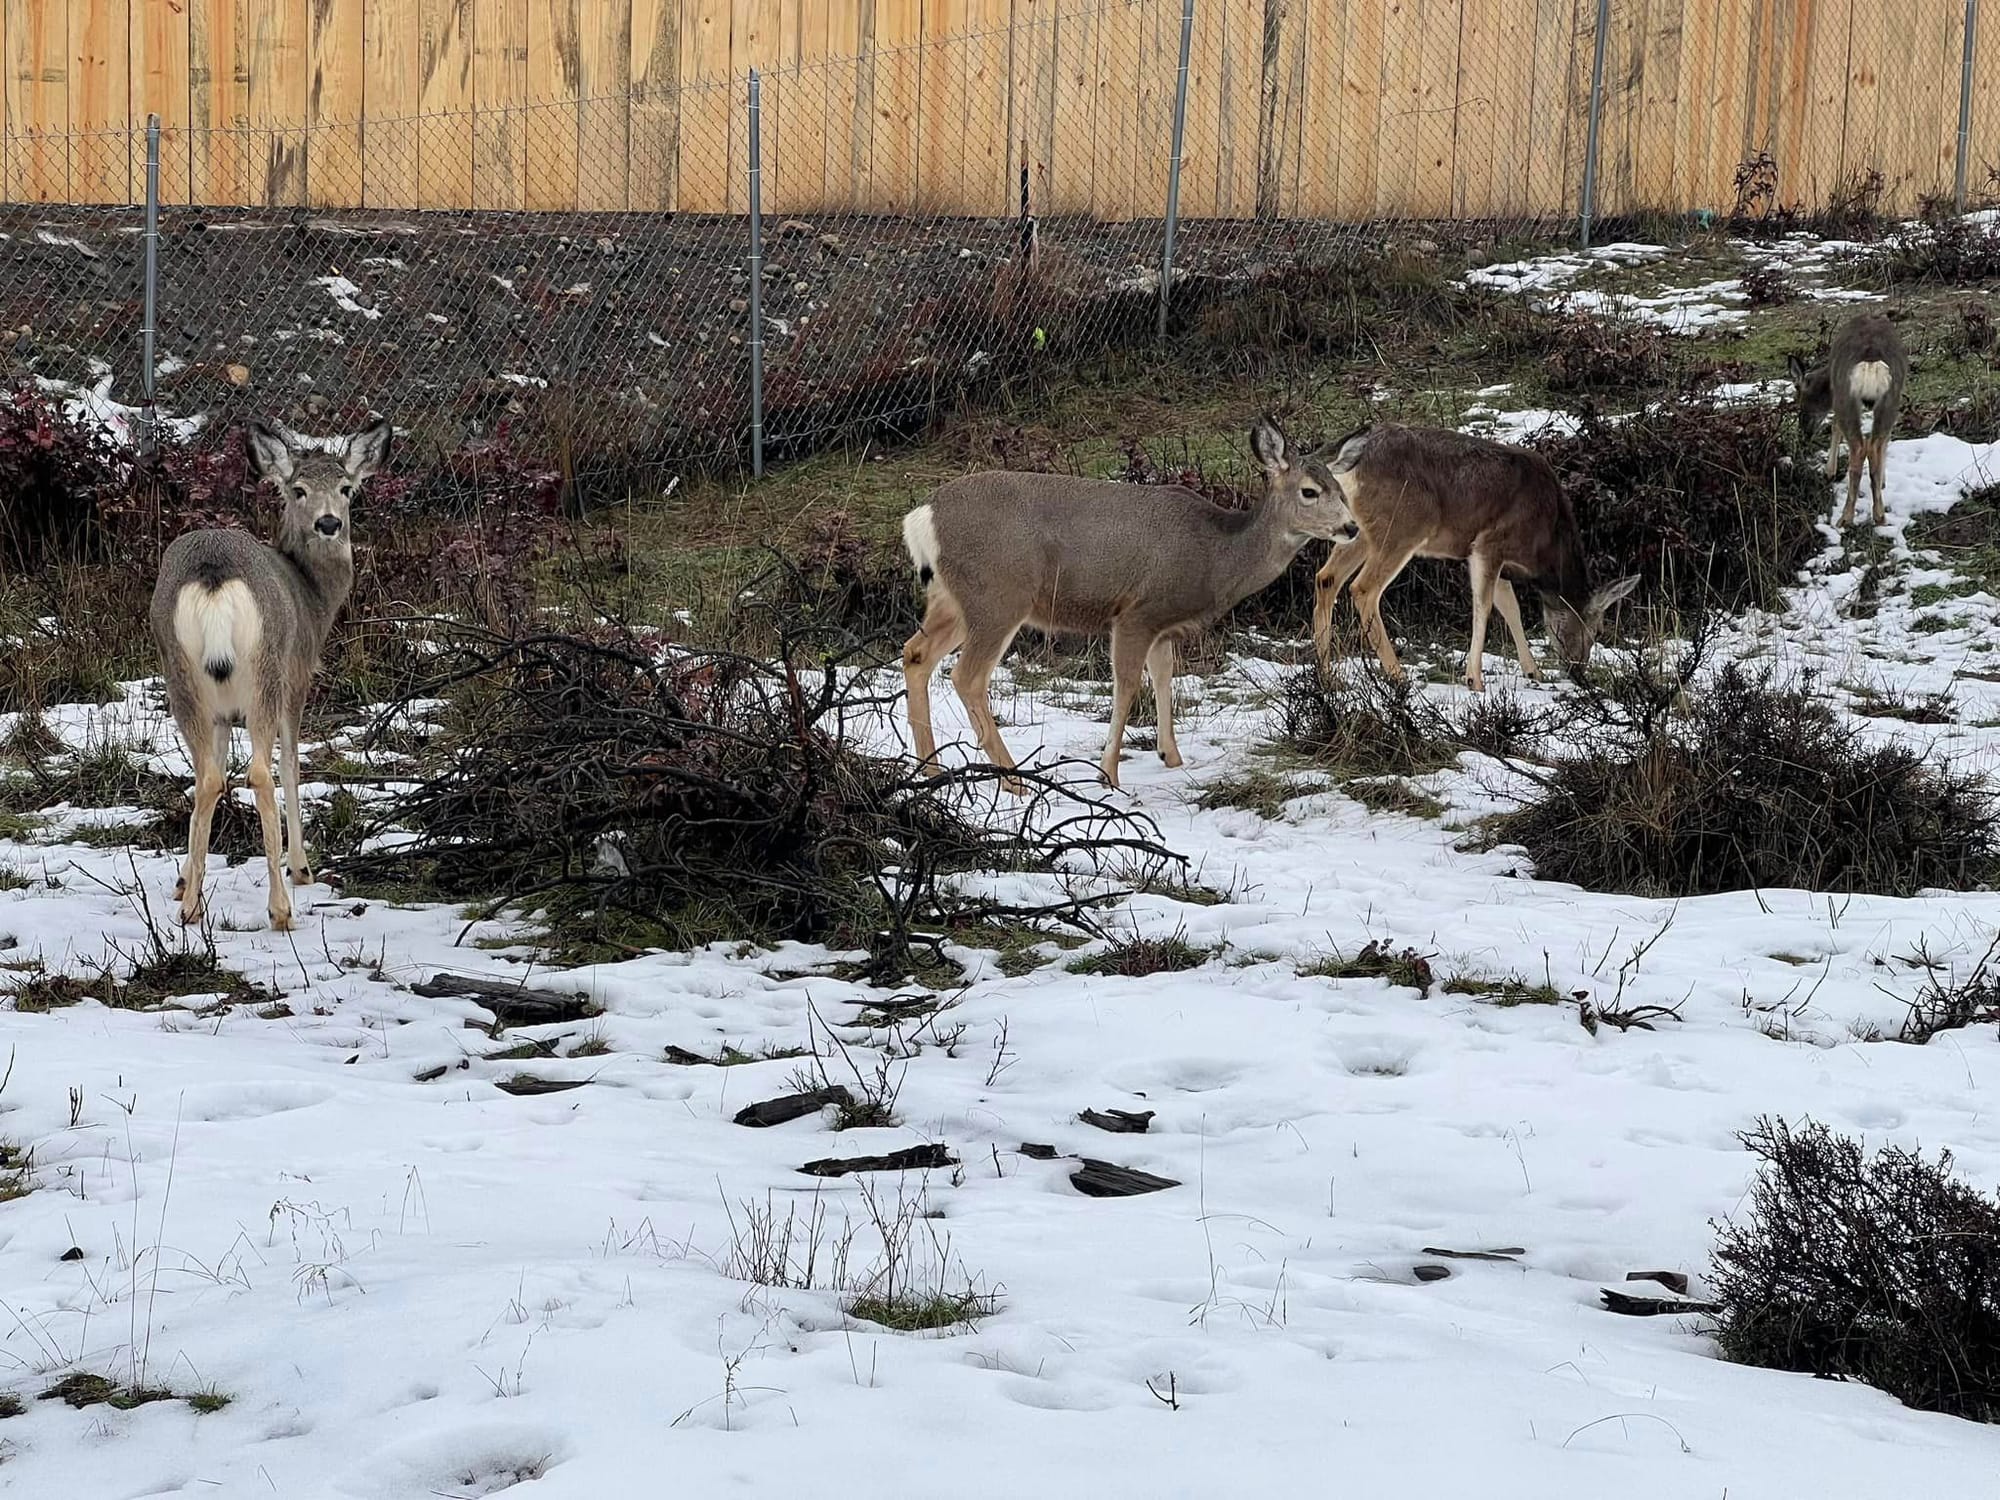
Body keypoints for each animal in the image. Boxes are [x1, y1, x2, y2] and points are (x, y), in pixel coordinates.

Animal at [148, 420, 394, 928]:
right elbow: (293, 765)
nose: (329, 523)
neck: (312, 596)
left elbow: (214, 770)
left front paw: (184, 879)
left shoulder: (223, 713)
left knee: (207, 776)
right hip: (265, 669)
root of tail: (213, 572)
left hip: (181, 674)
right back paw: (281, 908)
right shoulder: (297, 677)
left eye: (346, 488)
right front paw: (302, 867)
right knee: (261, 772)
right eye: (298, 489)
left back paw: (190, 908)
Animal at [904, 418, 1360, 792]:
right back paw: (1013, 779)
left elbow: (1163, 676)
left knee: (916, 654)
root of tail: (921, 517)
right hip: (999, 593)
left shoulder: (1163, 624)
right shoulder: (1136, 612)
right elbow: (1126, 686)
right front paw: (1109, 773)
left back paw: (931, 769)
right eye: (1310, 492)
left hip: (954, 599)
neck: (1216, 556)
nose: (1352, 527)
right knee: (967, 676)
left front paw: (1171, 756)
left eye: (1342, 491)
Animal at [1312, 424, 1640, 692]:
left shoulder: (1498, 561)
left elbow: (1510, 607)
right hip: (1404, 524)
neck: (1542, 545)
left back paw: (1326, 675)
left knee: (1326, 578)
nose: (1579, 673)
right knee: (1363, 588)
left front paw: (1533, 672)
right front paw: (1475, 679)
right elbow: (1483, 605)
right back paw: (1397, 674)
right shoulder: (1488, 543)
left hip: (1358, 530)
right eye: (1597, 630)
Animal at [1792, 310, 1912, 528]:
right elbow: (1887, 439)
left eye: (1800, 404)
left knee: (1858, 447)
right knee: (1873, 446)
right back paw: (1879, 515)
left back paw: (1846, 517)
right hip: (1890, 398)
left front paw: (1829, 471)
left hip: (1846, 396)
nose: (1803, 433)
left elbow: (1835, 427)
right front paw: (1883, 482)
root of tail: (1871, 362)